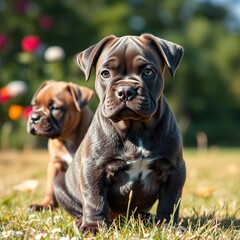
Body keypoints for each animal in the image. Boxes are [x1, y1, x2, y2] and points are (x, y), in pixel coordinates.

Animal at [26, 80, 93, 210]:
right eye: (34, 105)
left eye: (54, 108)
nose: (34, 117)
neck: (67, 139)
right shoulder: (55, 163)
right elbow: (50, 188)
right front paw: (45, 205)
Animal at [54, 33, 186, 231]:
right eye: (105, 73)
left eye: (148, 72)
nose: (125, 90)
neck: (135, 129)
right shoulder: (94, 168)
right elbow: (94, 198)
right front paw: (93, 226)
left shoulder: (174, 168)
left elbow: (170, 201)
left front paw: (168, 225)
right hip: (59, 183)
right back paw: (82, 221)